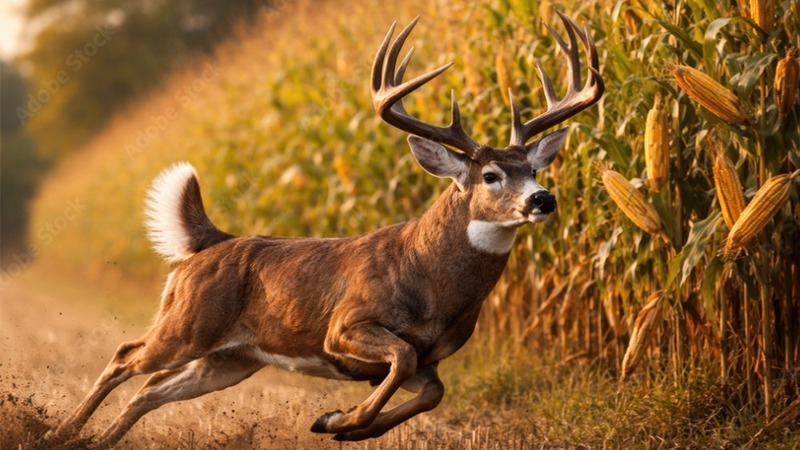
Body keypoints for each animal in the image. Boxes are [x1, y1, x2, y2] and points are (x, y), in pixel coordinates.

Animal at [44, 11, 603, 448]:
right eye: (490, 175)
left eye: (533, 169)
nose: (543, 199)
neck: (432, 283)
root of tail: (210, 242)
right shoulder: (346, 324)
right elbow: (400, 356)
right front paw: (340, 419)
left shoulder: (430, 360)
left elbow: (431, 391)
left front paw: (342, 423)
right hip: (188, 322)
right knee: (125, 357)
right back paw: (58, 432)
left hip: (229, 358)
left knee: (150, 390)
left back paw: (93, 440)